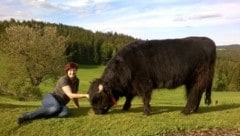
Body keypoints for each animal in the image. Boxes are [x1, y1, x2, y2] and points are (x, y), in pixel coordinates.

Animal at [88, 36, 216, 115]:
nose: (96, 112)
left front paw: (146, 112)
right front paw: (125, 107)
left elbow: (145, 97)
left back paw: (186, 111)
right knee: (197, 93)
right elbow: (129, 97)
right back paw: (194, 110)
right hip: (192, 80)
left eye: (98, 98)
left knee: (194, 93)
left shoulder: (143, 82)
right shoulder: (132, 86)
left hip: (198, 77)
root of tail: (208, 41)